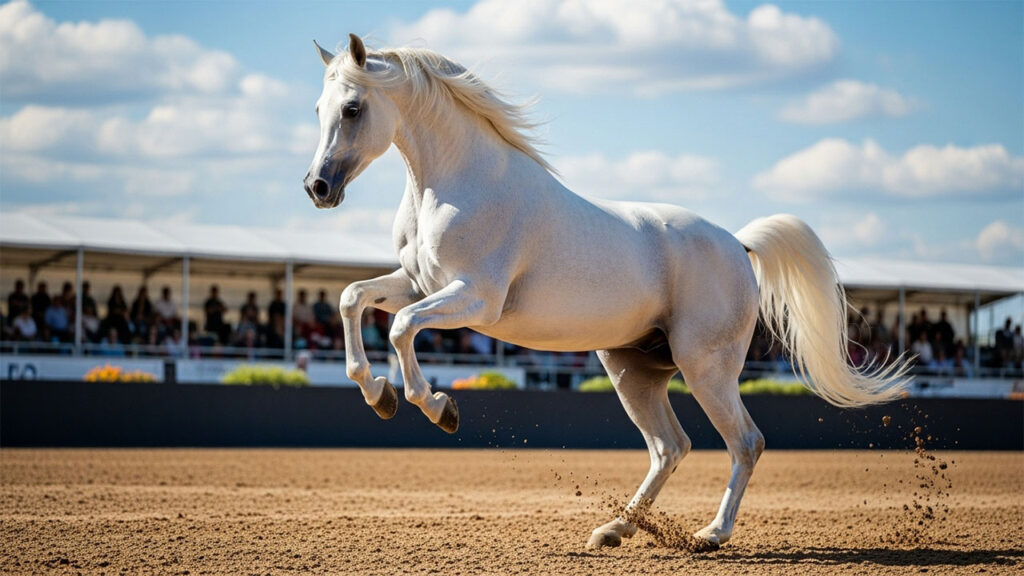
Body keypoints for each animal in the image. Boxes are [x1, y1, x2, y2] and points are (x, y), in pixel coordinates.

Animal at [303, 34, 910, 549]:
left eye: (352, 108)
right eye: (317, 109)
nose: (317, 188)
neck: (460, 184)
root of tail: (738, 245)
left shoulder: (474, 300)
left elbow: (402, 329)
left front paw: (437, 407)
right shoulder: (415, 285)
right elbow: (353, 299)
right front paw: (377, 393)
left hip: (706, 369)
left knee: (745, 442)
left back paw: (711, 535)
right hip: (631, 370)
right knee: (670, 447)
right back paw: (615, 529)